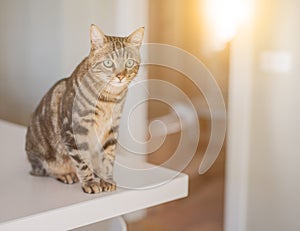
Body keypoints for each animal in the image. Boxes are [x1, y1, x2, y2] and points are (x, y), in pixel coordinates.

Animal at [25, 23, 145, 193]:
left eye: (129, 63)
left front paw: (106, 180)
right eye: (108, 63)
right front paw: (89, 183)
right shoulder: (76, 130)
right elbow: (82, 161)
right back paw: (66, 174)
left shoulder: (112, 129)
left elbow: (108, 158)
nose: (120, 76)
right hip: (41, 157)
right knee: (43, 170)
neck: (109, 98)